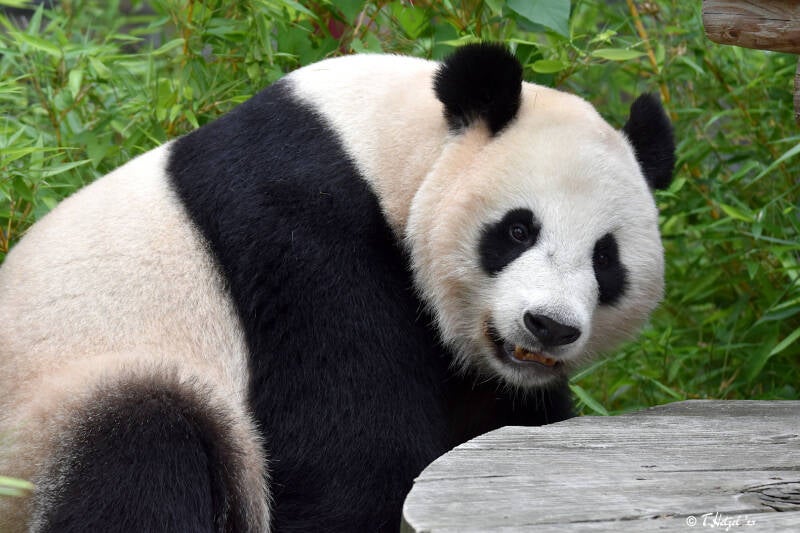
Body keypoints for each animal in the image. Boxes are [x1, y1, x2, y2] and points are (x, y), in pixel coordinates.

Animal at [0, 43, 674, 532]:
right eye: (516, 230)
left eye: (606, 259)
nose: (549, 325)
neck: (385, 146)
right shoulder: (303, 233)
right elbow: (352, 455)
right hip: (51, 424)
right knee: (140, 444)